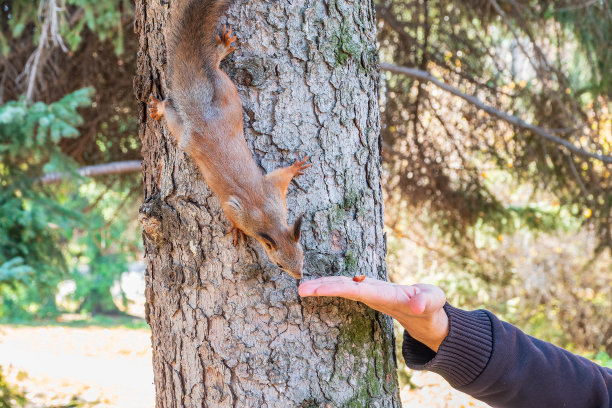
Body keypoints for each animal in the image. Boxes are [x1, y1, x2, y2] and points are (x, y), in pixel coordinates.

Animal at [149, 0, 310, 280]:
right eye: (279, 264)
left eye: (301, 253)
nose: (299, 276)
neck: (267, 218)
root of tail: (200, 112)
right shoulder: (239, 206)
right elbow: (233, 214)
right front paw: (236, 230)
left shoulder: (273, 190)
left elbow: (282, 174)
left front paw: (297, 166)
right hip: (208, 110)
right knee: (189, 89)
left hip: (221, 96)